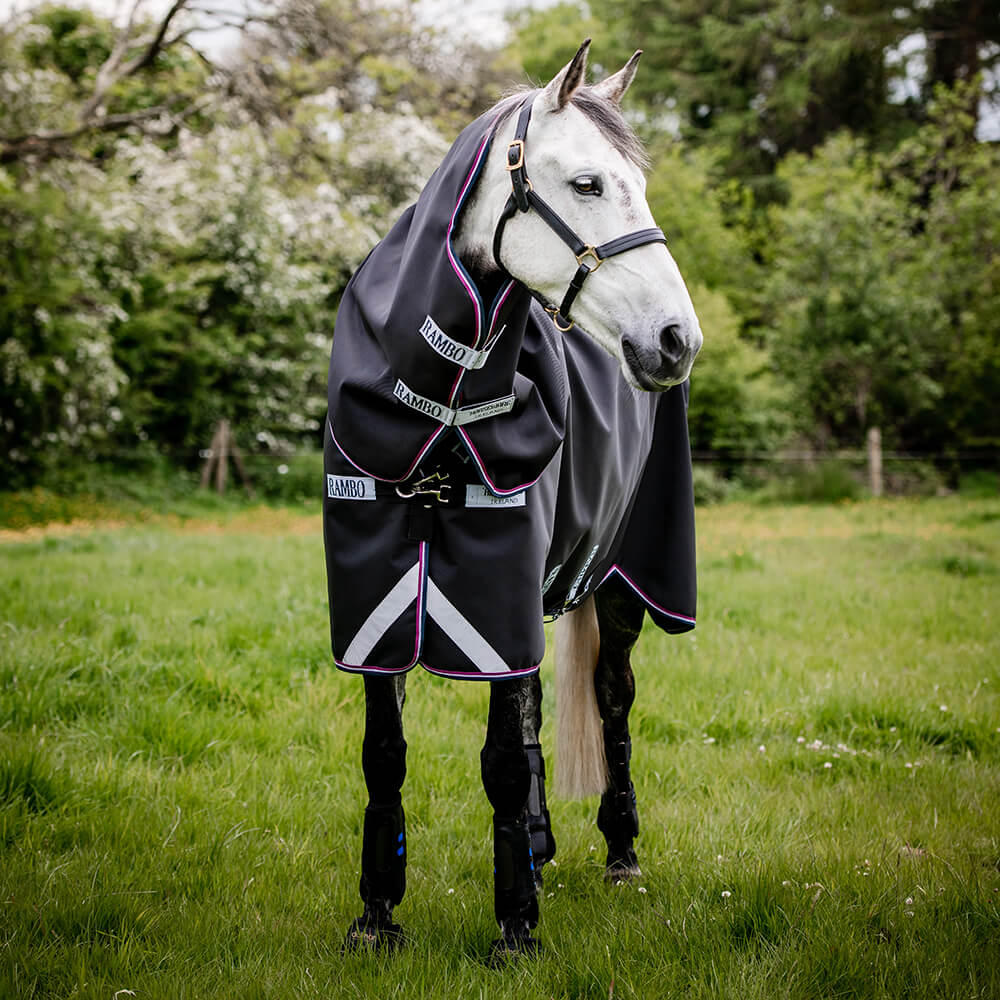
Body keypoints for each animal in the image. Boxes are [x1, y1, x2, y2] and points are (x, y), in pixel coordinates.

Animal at [321, 40, 703, 960]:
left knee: (613, 700)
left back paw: (619, 852)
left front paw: (516, 930)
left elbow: (502, 755)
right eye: (588, 183)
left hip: (619, 584)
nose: (678, 340)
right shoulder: (378, 604)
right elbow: (385, 752)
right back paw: (537, 844)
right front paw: (375, 917)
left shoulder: (497, 597)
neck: (437, 405)